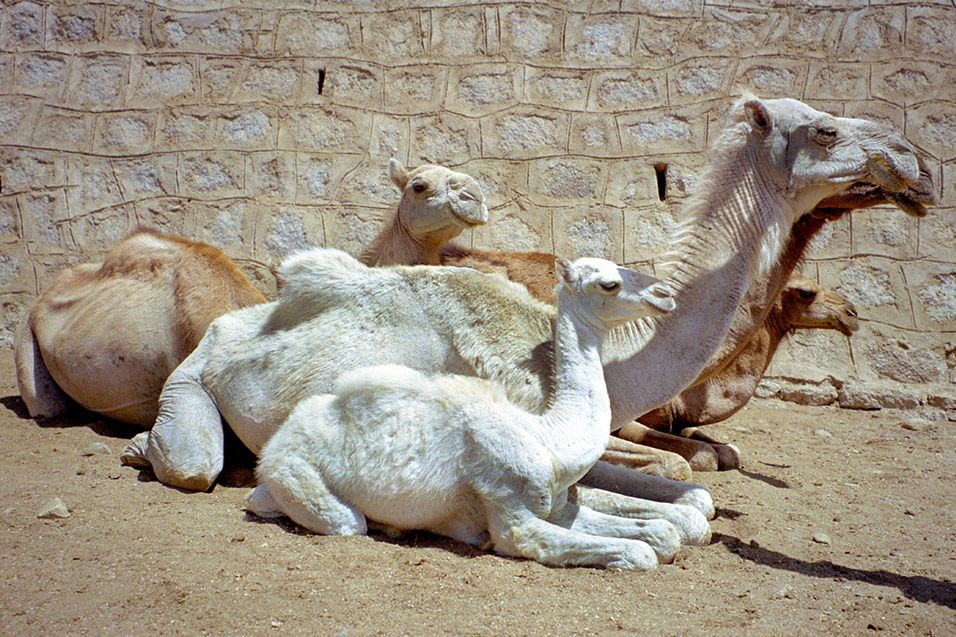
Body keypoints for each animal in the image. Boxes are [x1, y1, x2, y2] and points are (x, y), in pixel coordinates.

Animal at [245, 253, 680, 572]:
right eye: (609, 283)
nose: (664, 295)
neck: (549, 438)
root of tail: (280, 440)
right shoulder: (509, 508)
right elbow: (637, 551)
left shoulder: (556, 504)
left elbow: (663, 533)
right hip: (296, 474)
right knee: (337, 518)